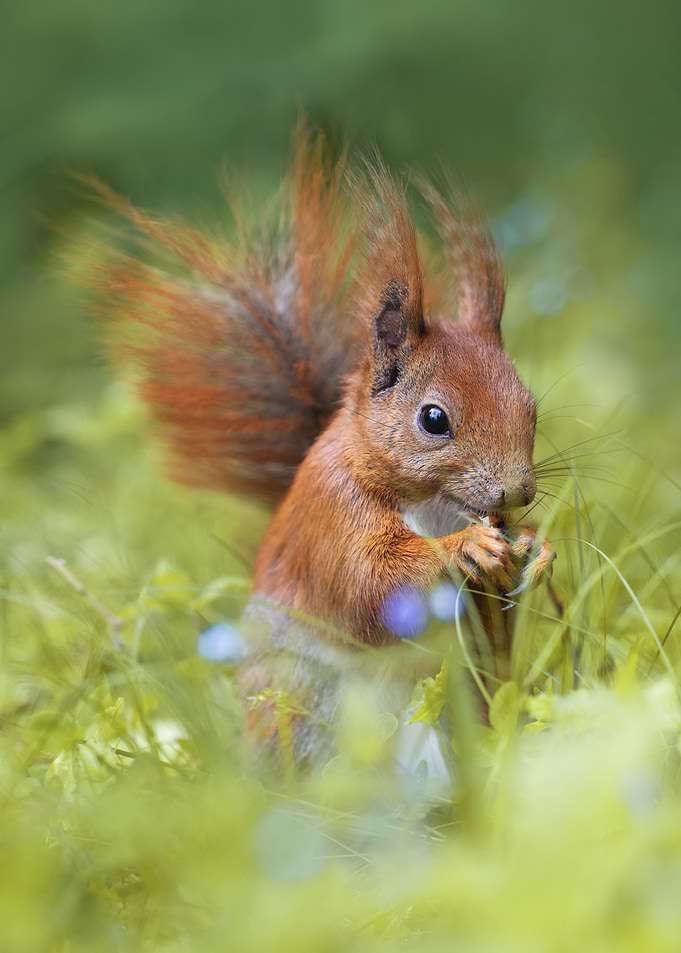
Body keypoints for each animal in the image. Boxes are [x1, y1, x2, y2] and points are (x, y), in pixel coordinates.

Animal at [93, 128, 556, 767]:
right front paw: (465, 546)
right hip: (300, 706)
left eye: (531, 406)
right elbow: (369, 580)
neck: (432, 504)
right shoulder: (334, 513)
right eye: (434, 419)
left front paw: (536, 547)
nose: (518, 492)